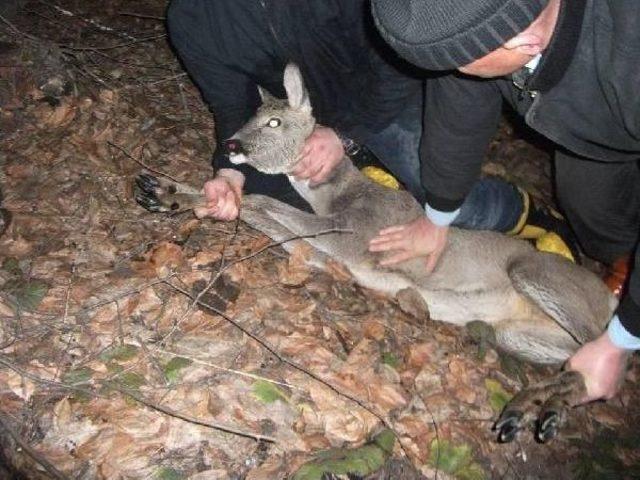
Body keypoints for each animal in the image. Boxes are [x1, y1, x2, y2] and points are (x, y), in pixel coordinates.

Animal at [134, 64, 616, 446]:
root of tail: (608, 298)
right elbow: (270, 221)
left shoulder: (354, 237)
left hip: (533, 272)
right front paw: (167, 192)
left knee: (604, 358)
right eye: (252, 116)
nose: (232, 145)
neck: (336, 195)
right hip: (517, 334)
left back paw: (537, 412)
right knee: (581, 367)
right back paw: (527, 410)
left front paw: (180, 194)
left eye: (273, 121)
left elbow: (258, 203)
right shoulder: (329, 254)